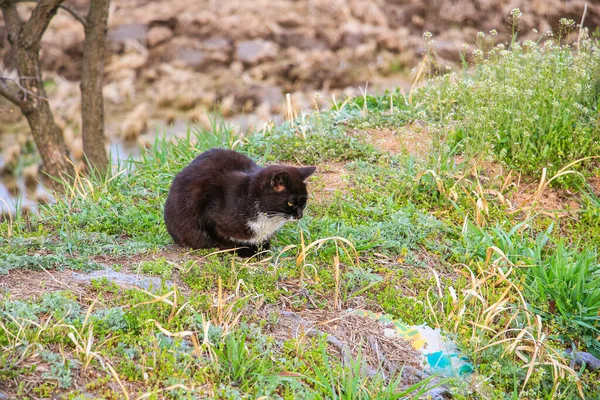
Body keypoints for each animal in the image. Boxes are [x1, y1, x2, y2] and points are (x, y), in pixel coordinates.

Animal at [162, 148, 316, 258]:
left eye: (304, 202)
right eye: (290, 203)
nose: (300, 216)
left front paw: (262, 247)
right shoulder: (209, 212)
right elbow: (221, 238)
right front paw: (244, 250)